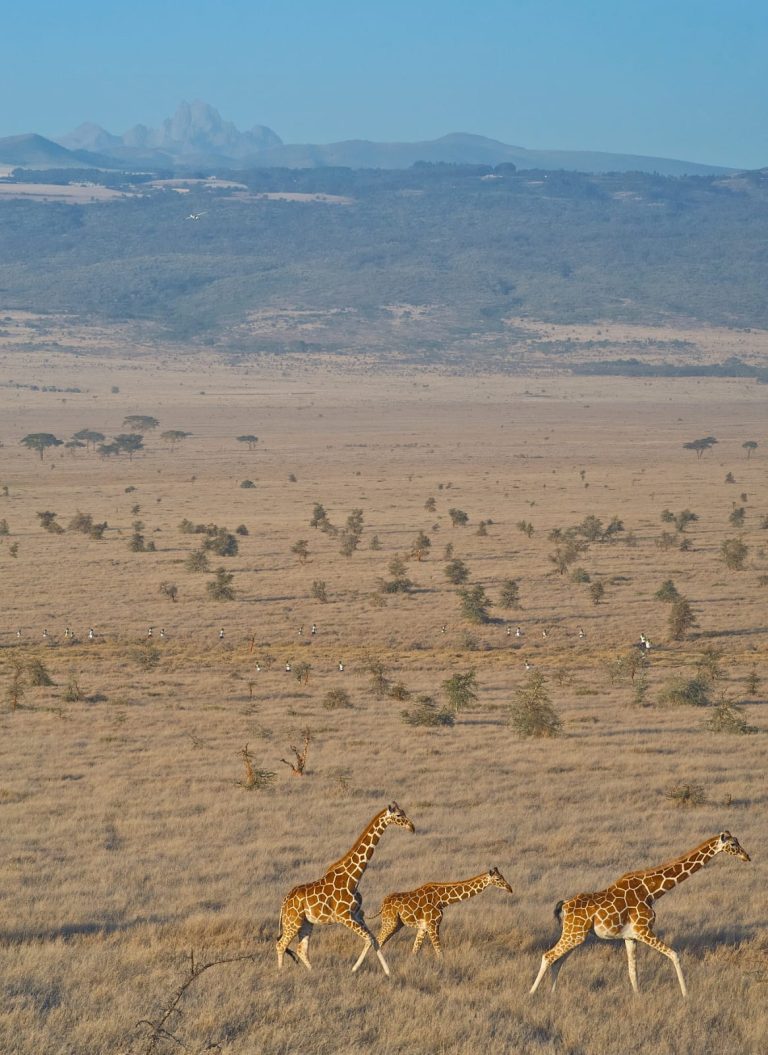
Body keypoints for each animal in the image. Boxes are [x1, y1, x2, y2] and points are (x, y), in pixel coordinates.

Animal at [276, 803, 415, 976]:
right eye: (398, 815)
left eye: (404, 812)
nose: (412, 827)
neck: (354, 877)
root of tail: (284, 902)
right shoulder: (344, 916)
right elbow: (368, 939)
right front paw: (354, 969)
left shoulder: (357, 915)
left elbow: (374, 940)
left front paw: (388, 972)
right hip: (292, 922)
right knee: (281, 945)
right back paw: (280, 973)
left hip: (306, 923)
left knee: (301, 949)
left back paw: (313, 972)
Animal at [376, 867, 513, 958]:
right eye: (498, 878)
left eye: (503, 876)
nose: (510, 888)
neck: (442, 900)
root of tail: (382, 904)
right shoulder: (433, 925)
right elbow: (440, 952)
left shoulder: (423, 927)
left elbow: (415, 950)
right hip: (390, 923)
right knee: (377, 940)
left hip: (397, 924)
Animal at [530, 831, 750, 997]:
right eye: (733, 844)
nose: (747, 857)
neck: (651, 891)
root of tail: (565, 905)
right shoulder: (644, 930)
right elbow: (675, 955)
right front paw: (686, 994)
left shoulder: (631, 937)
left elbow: (632, 971)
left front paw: (637, 997)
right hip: (574, 934)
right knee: (548, 956)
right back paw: (531, 994)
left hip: (576, 935)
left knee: (557, 961)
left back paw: (552, 994)